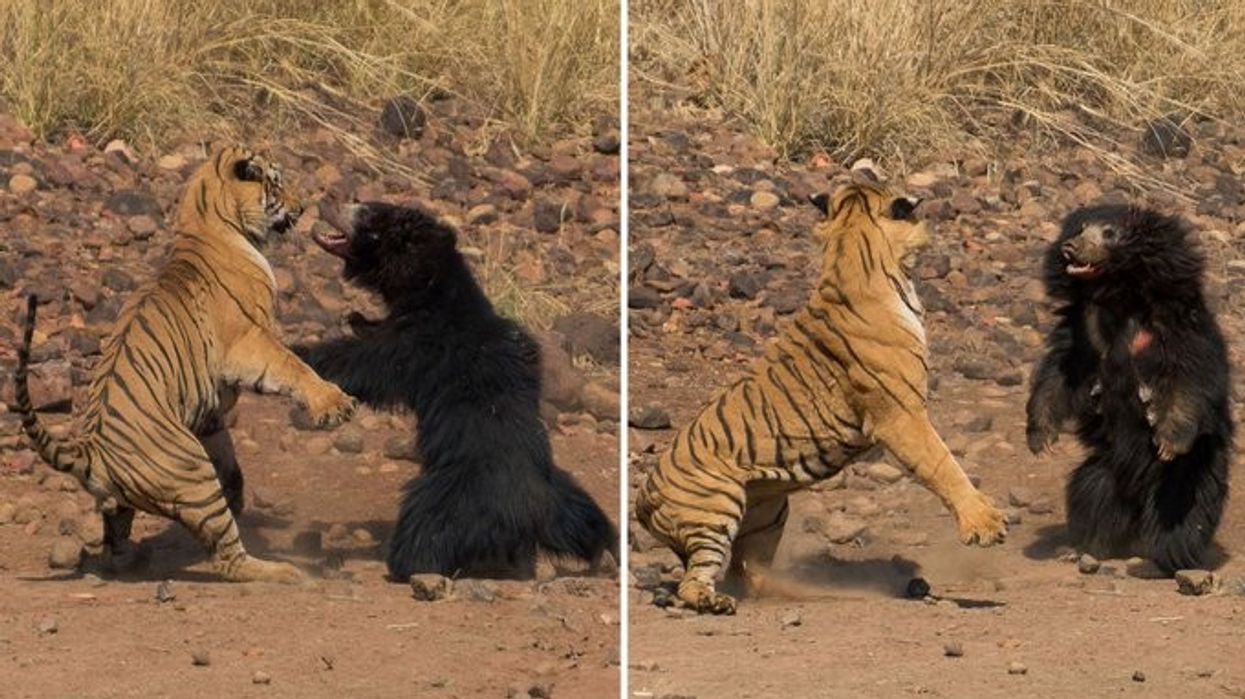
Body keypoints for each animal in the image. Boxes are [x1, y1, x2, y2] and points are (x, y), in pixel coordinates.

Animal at [13, 145, 357, 584]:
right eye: (276, 184)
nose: (302, 207)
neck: (206, 219)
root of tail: (91, 451)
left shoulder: (209, 412)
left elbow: (226, 449)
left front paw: (238, 491)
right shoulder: (248, 342)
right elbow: (292, 366)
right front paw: (334, 405)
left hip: (131, 499)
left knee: (116, 542)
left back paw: (133, 559)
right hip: (193, 475)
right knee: (229, 560)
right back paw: (284, 571)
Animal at [634, 181, 1008, 614]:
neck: (851, 246)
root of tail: (641, 497)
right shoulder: (901, 415)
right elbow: (942, 464)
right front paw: (985, 524)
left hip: (768, 512)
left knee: (751, 576)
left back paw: (825, 592)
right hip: (717, 507)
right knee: (693, 583)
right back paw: (716, 603)